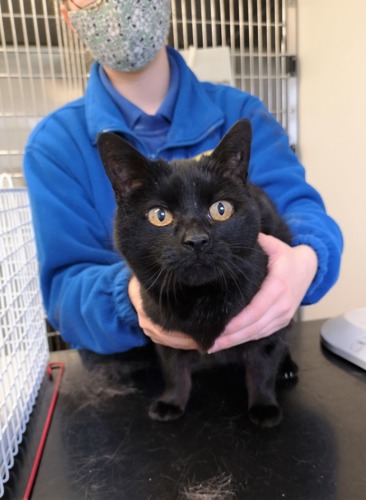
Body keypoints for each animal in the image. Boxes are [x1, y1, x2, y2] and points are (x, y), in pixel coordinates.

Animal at [97, 119, 298, 428]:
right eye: (160, 215)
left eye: (221, 209)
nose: (196, 240)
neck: (201, 297)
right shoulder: (163, 330)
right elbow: (174, 370)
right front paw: (170, 402)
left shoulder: (269, 322)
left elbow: (261, 368)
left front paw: (264, 407)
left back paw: (286, 368)